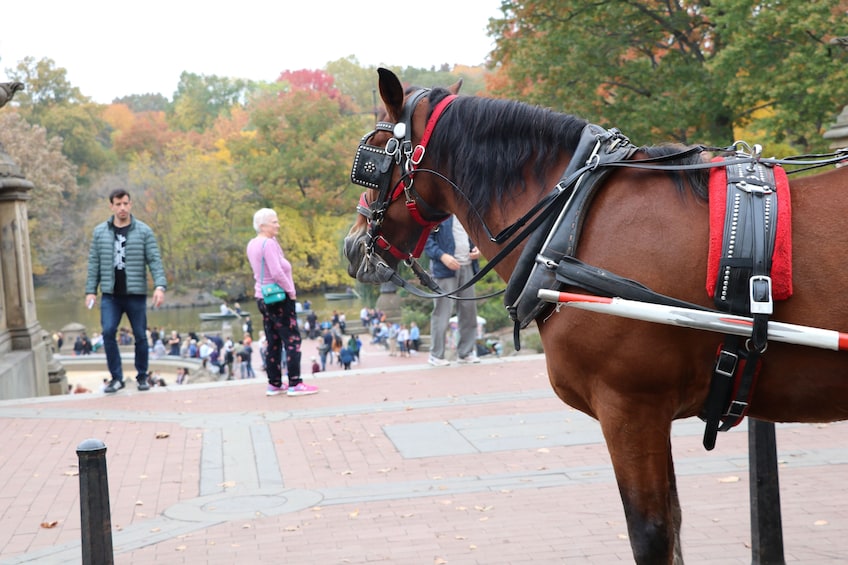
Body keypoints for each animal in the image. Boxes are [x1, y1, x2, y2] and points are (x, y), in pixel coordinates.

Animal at [342, 68, 848, 560]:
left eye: (370, 158)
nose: (351, 245)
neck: (572, 215)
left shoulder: (630, 407)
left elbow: (651, 533)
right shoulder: (650, 414)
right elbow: (675, 525)